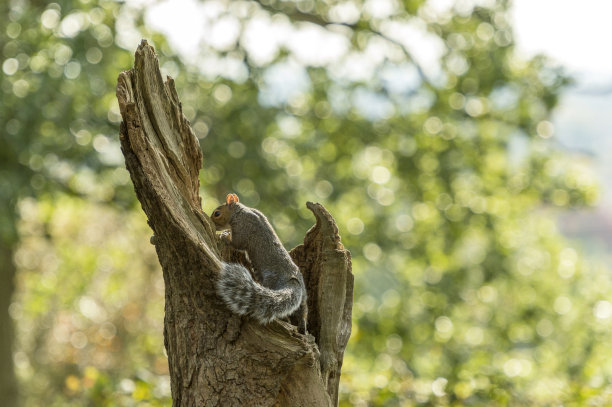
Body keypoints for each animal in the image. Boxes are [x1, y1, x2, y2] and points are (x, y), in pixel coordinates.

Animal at [212, 194, 308, 334]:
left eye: (217, 213)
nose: (214, 226)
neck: (240, 212)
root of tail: (292, 281)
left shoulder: (243, 227)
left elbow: (237, 243)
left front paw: (224, 236)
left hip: (270, 280)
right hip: (304, 298)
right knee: (302, 312)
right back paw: (302, 327)